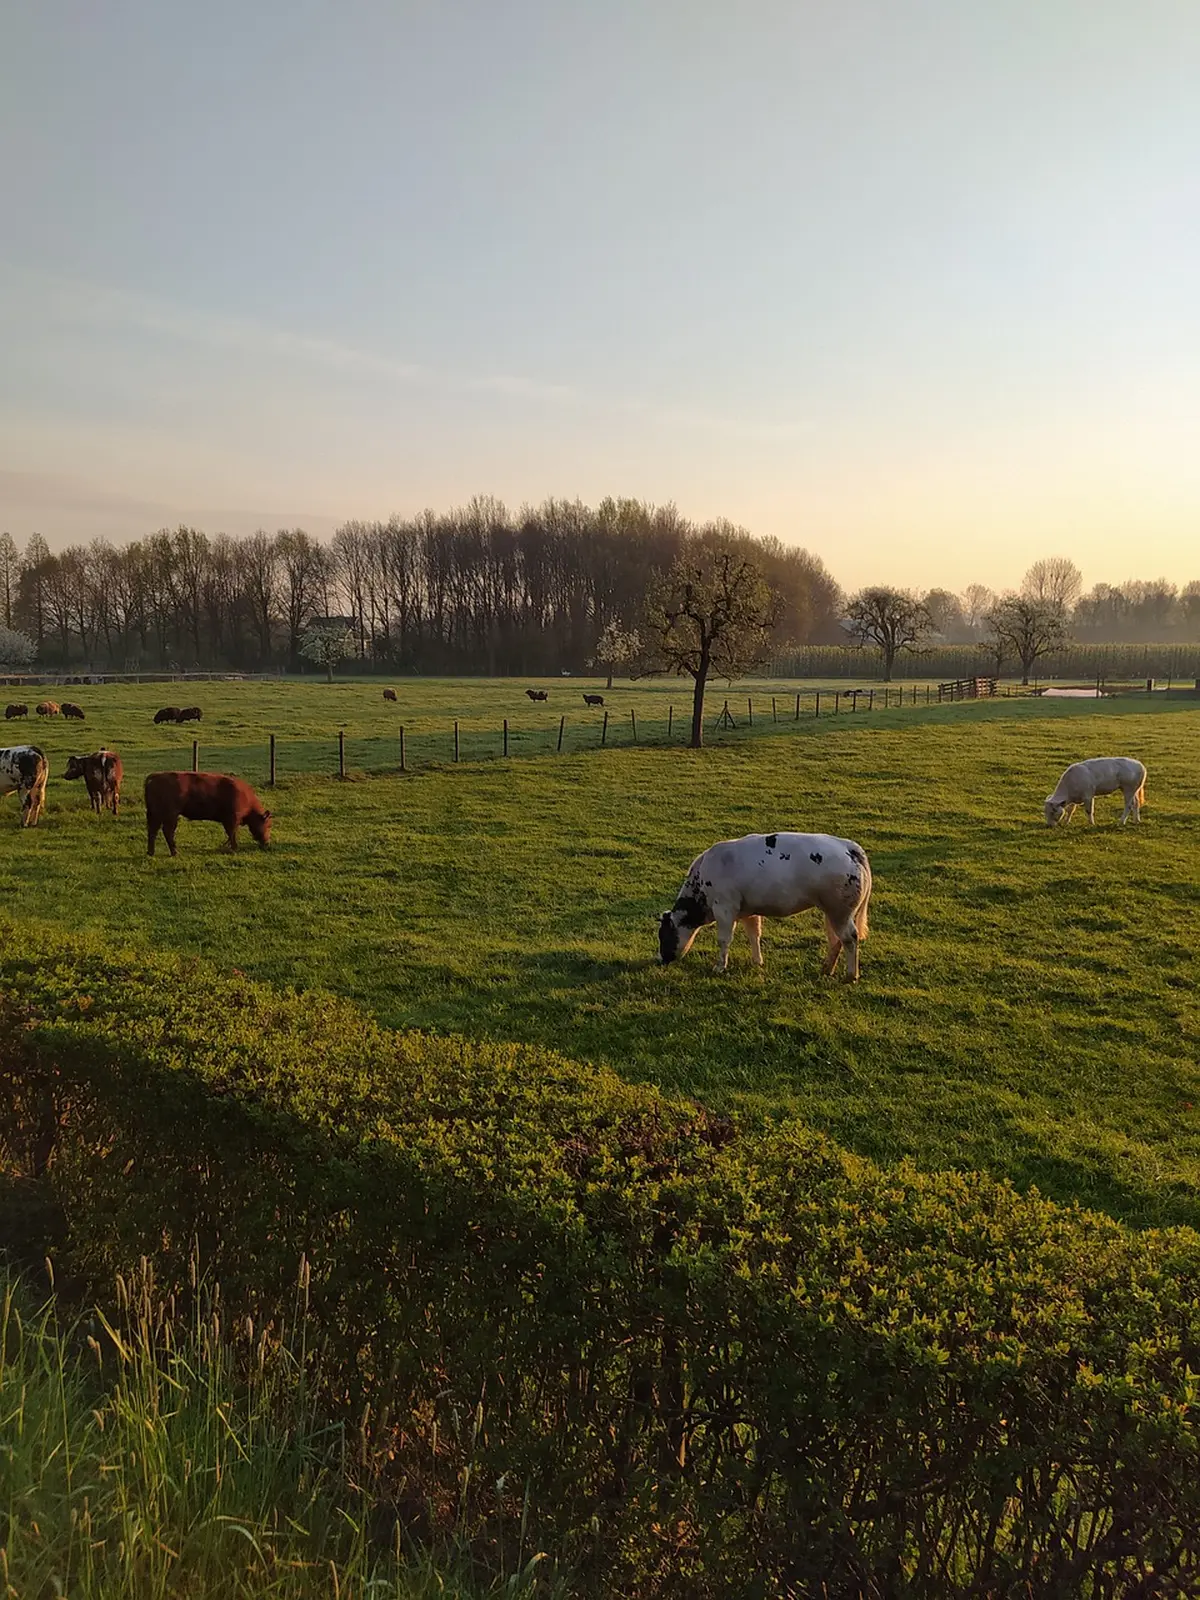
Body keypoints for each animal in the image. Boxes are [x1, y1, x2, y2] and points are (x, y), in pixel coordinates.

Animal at [658, 831, 873, 980]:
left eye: (663, 935)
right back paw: (827, 969)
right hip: (832, 911)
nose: (661, 959)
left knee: (849, 938)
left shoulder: (724, 908)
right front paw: (757, 961)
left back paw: (850, 975)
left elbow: (724, 940)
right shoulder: (748, 911)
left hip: (840, 911)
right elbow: (754, 935)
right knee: (836, 940)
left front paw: (720, 966)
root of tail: (849, 846)